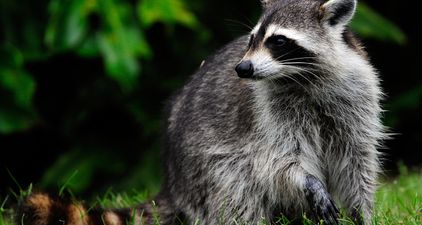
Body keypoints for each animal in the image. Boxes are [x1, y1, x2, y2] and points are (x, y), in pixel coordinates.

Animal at [18, 0, 384, 225]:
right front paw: (309, 183)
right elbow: (278, 161)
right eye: (251, 39)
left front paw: (361, 213)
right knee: (237, 189)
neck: (302, 76)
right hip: (202, 165)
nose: (243, 68)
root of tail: (172, 181)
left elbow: (357, 159)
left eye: (278, 41)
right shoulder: (268, 113)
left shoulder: (357, 95)